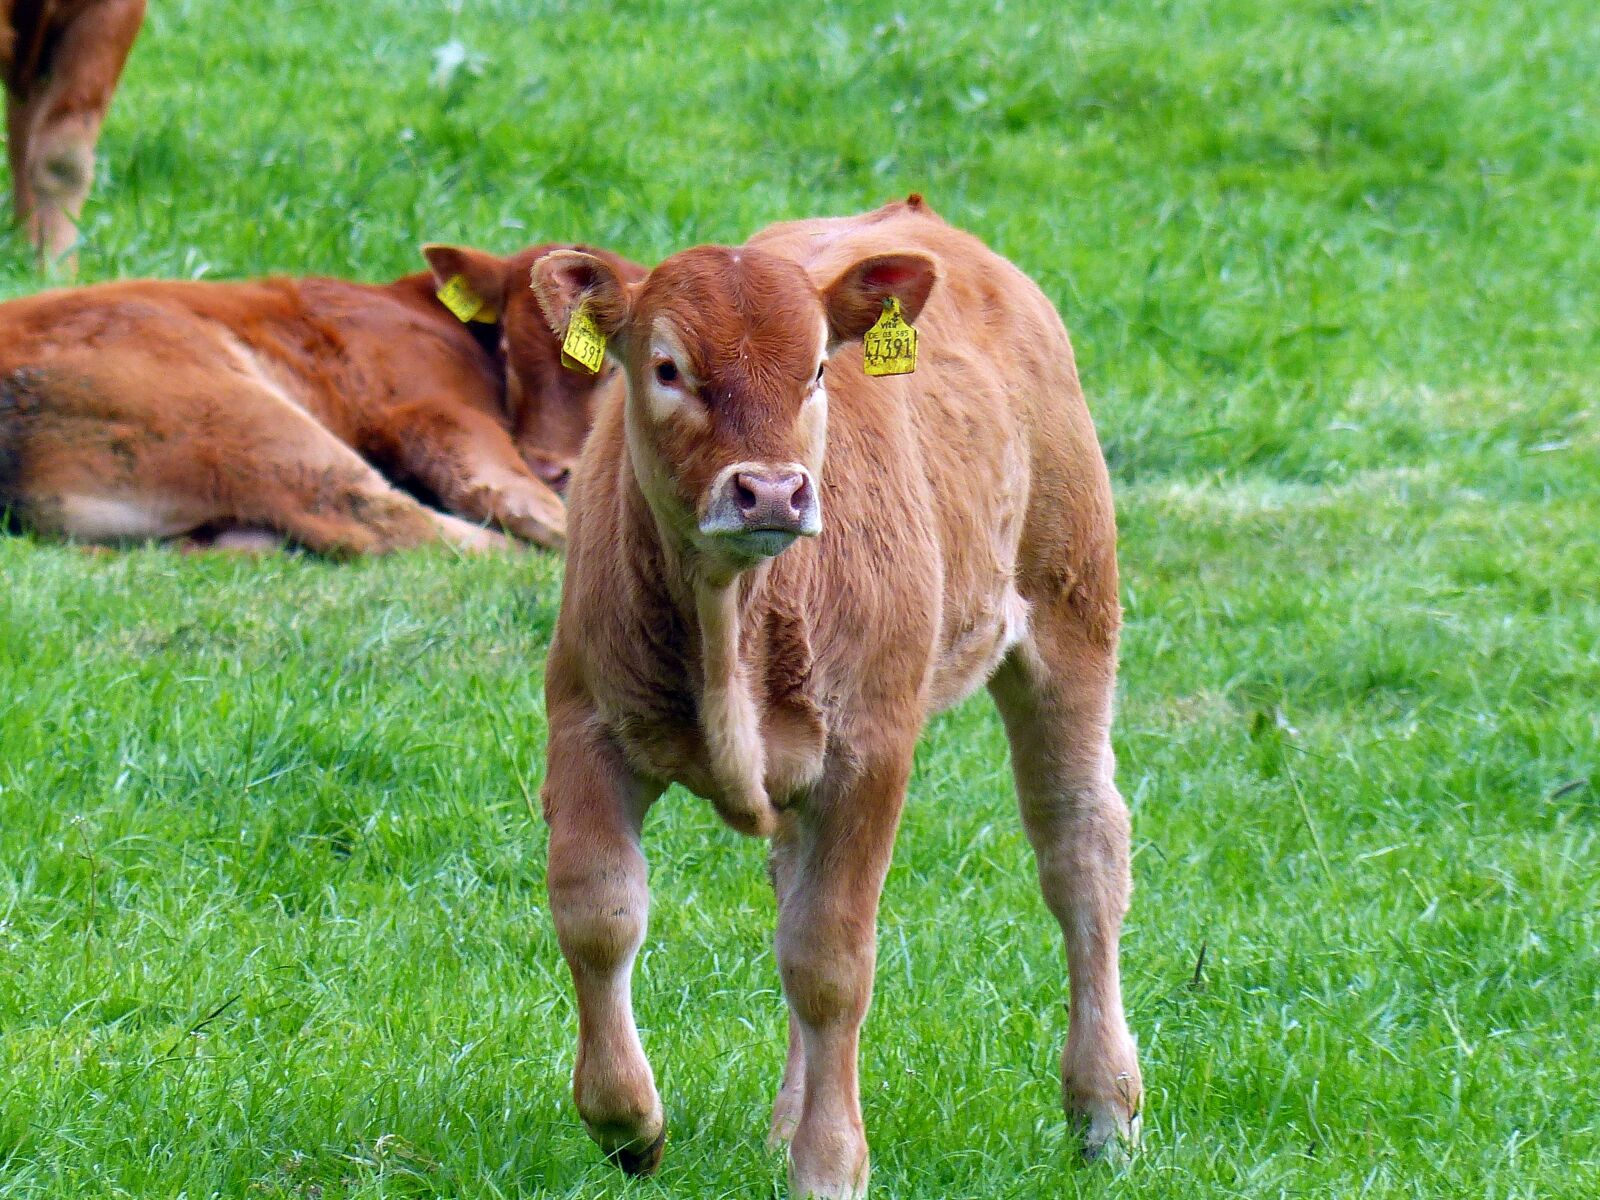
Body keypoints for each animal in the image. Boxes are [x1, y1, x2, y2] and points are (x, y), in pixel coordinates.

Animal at [0, 242, 640, 555]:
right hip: (254, 423)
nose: (549, 463)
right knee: (382, 521)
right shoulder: (429, 409)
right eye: (509, 347)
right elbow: (508, 492)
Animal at [529, 195, 1140, 1198]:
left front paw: (829, 1165)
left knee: (1081, 846)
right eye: (667, 367)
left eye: (817, 368)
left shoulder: (869, 754)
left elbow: (830, 961)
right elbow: (598, 912)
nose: (771, 490)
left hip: (1071, 614)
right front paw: (628, 1121)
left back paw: (1103, 1111)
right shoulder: (584, 722)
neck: (730, 620)